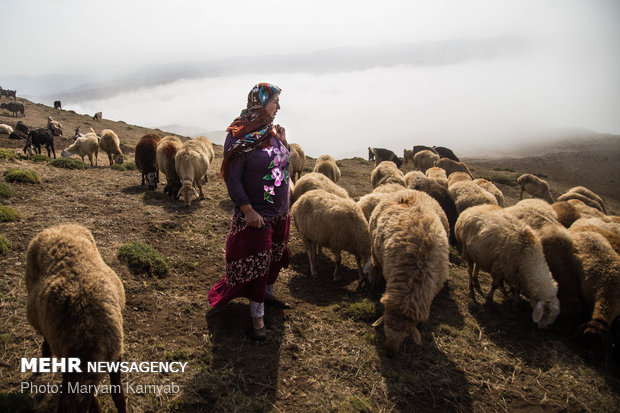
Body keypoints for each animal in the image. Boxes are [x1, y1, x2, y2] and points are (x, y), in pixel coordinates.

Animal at [26, 225, 127, 412]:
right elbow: (100, 400)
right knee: (44, 335)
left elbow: (118, 396)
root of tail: (57, 226)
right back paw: (45, 355)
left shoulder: (115, 356)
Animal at [368, 190, 450, 354]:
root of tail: (410, 192)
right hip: (375, 253)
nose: (389, 353)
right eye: (385, 330)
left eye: (406, 335)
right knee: (376, 268)